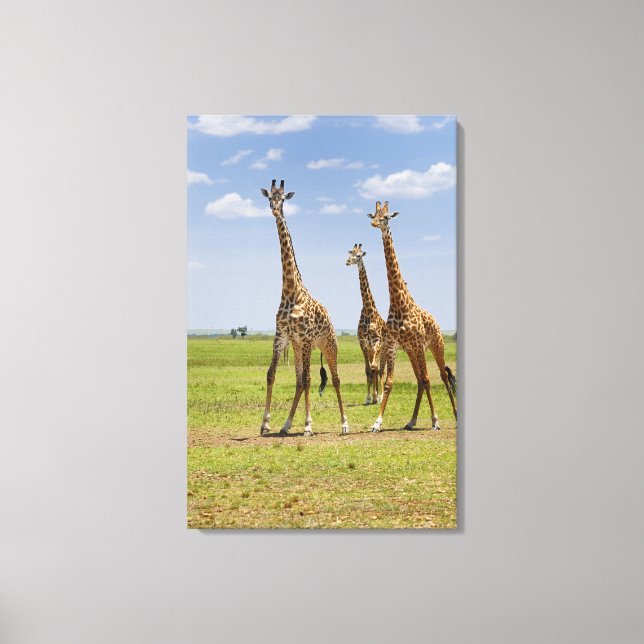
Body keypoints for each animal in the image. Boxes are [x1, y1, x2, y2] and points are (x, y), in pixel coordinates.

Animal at [259, 180, 349, 437]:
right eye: (268, 196)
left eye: (283, 199)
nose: (274, 209)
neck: (291, 291)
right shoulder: (283, 335)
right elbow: (271, 374)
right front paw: (265, 423)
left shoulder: (307, 338)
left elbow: (310, 379)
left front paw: (309, 425)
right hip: (298, 347)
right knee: (299, 381)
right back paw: (286, 425)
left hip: (328, 346)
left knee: (336, 379)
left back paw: (344, 424)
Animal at [345, 243, 387, 405]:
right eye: (350, 253)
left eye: (359, 255)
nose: (347, 262)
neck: (369, 311)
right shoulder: (363, 343)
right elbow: (368, 369)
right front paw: (369, 397)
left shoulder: (376, 342)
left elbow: (375, 368)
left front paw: (377, 396)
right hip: (371, 349)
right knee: (374, 369)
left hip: (382, 349)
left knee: (380, 370)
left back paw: (380, 396)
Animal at [367, 201, 457, 432]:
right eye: (374, 215)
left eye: (386, 217)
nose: (374, 223)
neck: (400, 304)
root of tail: (435, 320)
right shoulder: (393, 346)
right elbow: (389, 383)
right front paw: (377, 423)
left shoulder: (417, 344)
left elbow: (428, 378)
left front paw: (435, 420)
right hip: (411, 351)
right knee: (419, 379)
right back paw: (411, 420)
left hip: (435, 346)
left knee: (442, 376)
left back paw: (453, 414)